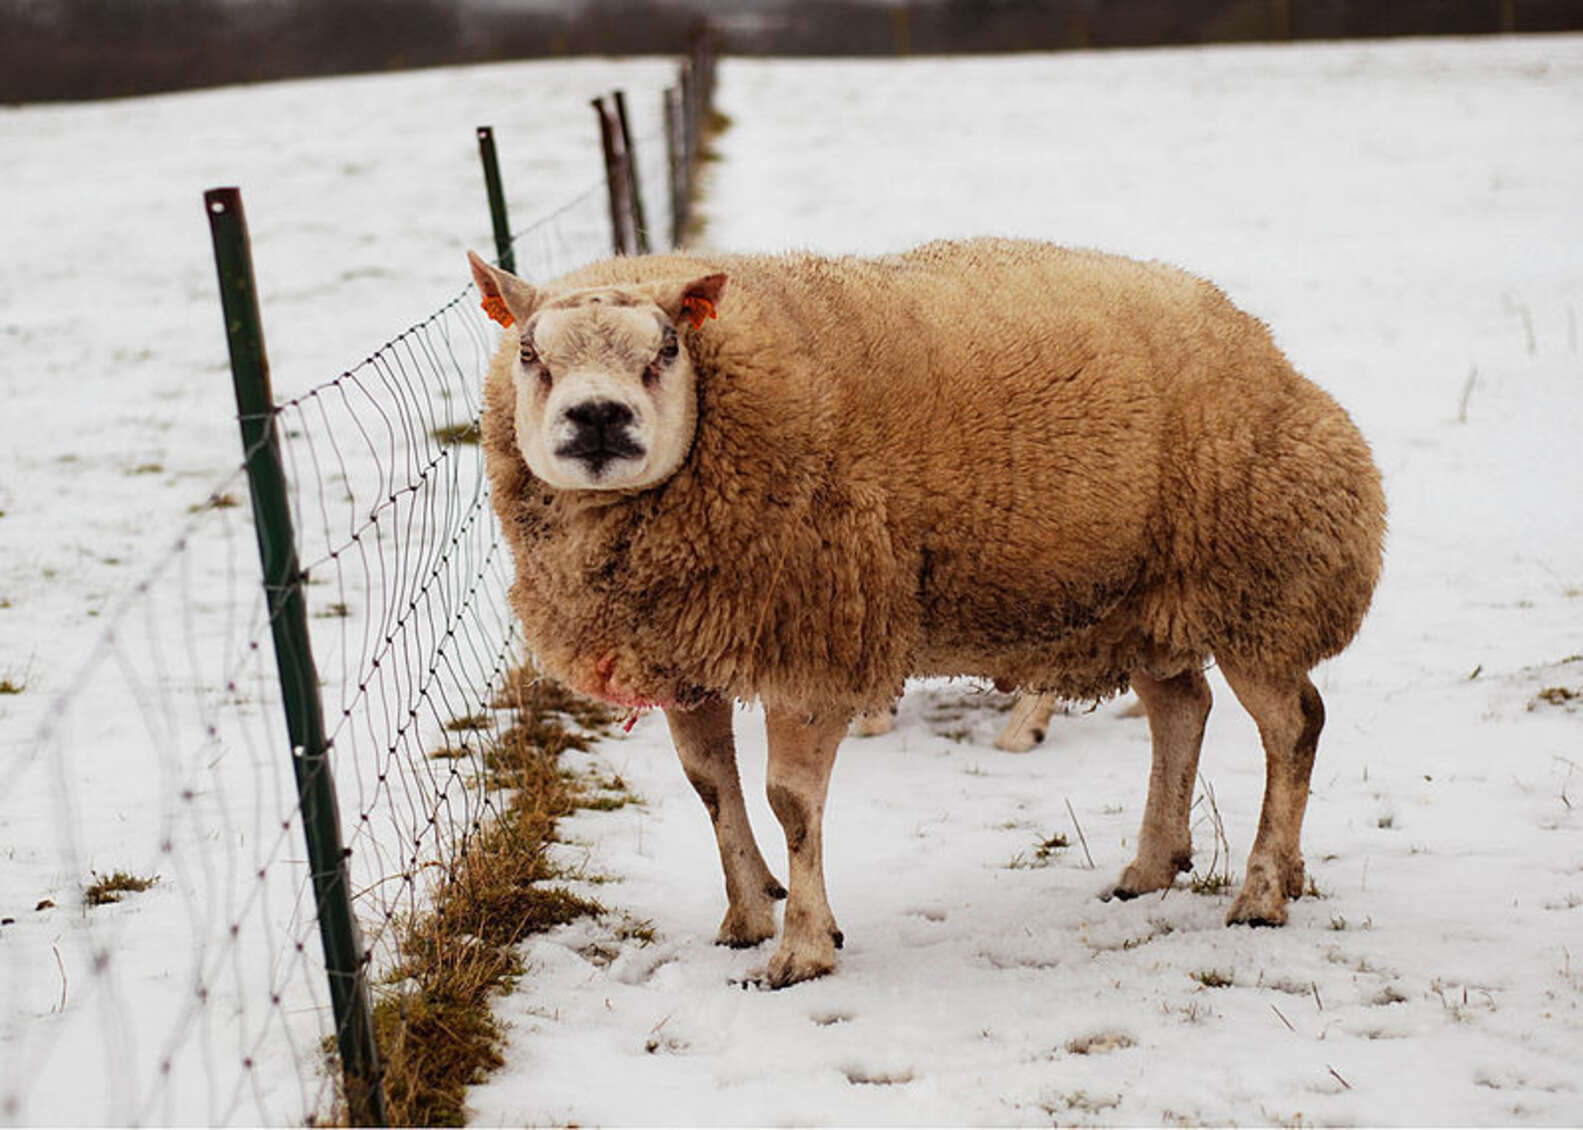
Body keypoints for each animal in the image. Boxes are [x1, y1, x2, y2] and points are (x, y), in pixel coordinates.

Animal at [465, 240, 1386, 987]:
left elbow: (788, 801)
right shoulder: (685, 653)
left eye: (665, 348)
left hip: (1258, 587)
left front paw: (802, 949)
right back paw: (1157, 867)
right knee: (1181, 710)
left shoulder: (817, 637)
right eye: (528, 352)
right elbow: (709, 787)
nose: (597, 417)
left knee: (1292, 726)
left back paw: (1261, 892)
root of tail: (1262, 345)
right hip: (1147, 601)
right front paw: (746, 915)